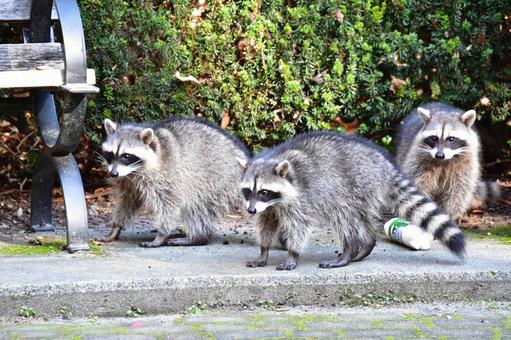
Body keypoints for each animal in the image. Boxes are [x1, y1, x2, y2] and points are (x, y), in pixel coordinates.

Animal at [97, 117, 250, 247]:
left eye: (126, 156)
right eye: (111, 154)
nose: (113, 174)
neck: (134, 171)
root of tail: (245, 162)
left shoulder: (166, 177)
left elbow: (168, 205)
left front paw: (161, 235)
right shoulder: (127, 181)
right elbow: (127, 202)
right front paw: (116, 228)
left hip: (215, 178)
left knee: (196, 208)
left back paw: (196, 237)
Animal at [238, 131, 466, 270]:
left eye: (264, 191)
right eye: (249, 191)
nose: (250, 211)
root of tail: (383, 165)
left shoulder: (300, 200)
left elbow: (298, 226)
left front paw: (292, 254)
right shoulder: (268, 209)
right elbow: (266, 224)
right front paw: (263, 251)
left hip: (356, 185)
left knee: (344, 218)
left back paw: (348, 251)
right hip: (364, 196)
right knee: (360, 220)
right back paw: (366, 244)